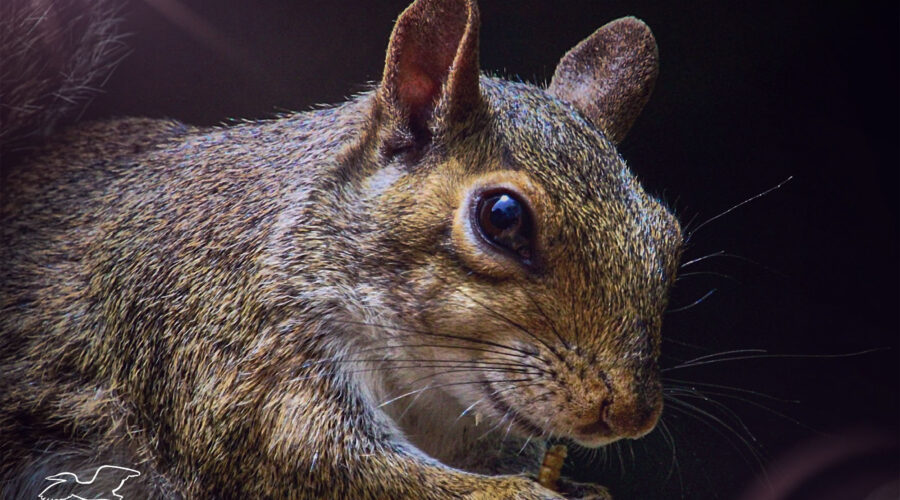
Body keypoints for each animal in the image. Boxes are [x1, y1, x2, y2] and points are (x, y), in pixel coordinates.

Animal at [0, 0, 683, 498]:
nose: (631, 414)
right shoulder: (230, 354)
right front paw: (514, 493)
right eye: (503, 218)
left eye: (669, 235)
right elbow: (323, 466)